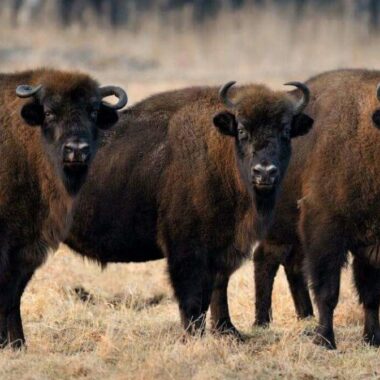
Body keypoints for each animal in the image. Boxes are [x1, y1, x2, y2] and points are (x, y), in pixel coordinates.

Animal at [0, 68, 128, 348]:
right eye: (49, 112)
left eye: (93, 111)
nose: (76, 150)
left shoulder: (29, 247)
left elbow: (13, 296)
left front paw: (18, 344)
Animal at [67, 80, 314, 336]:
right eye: (242, 130)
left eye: (285, 131)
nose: (264, 172)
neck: (220, 152)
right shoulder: (187, 248)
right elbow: (193, 296)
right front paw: (195, 333)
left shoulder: (223, 247)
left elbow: (218, 288)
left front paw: (228, 330)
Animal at [255, 69, 380, 350]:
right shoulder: (325, 232)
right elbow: (328, 290)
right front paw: (325, 340)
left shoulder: (370, 244)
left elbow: (370, 294)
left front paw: (373, 339)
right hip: (280, 229)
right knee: (266, 260)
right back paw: (261, 322)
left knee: (289, 265)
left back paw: (305, 316)